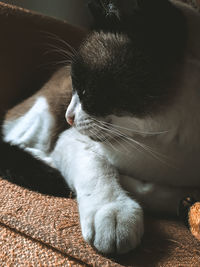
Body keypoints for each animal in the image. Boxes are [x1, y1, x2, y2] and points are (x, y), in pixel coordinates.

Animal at [1, 0, 200, 255]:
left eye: (85, 90)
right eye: (75, 85)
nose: (69, 117)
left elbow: (167, 193)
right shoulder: (73, 140)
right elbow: (99, 169)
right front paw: (115, 214)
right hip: (44, 118)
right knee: (19, 141)